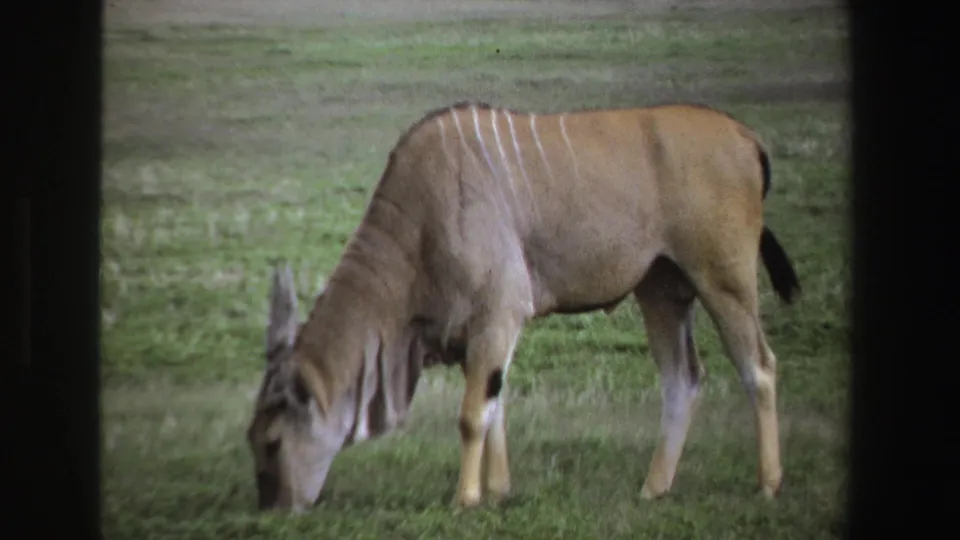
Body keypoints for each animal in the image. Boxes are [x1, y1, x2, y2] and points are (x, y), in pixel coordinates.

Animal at [246, 101, 801, 513]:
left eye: (271, 442)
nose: (273, 509)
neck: (420, 222)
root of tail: (746, 138)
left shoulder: (498, 316)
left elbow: (473, 415)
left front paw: (466, 499)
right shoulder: (480, 335)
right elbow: (495, 406)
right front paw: (498, 491)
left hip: (723, 280)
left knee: (760, 367)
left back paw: (769, 484)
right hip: (662, 290)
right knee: (682, 379)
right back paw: (653, 488)